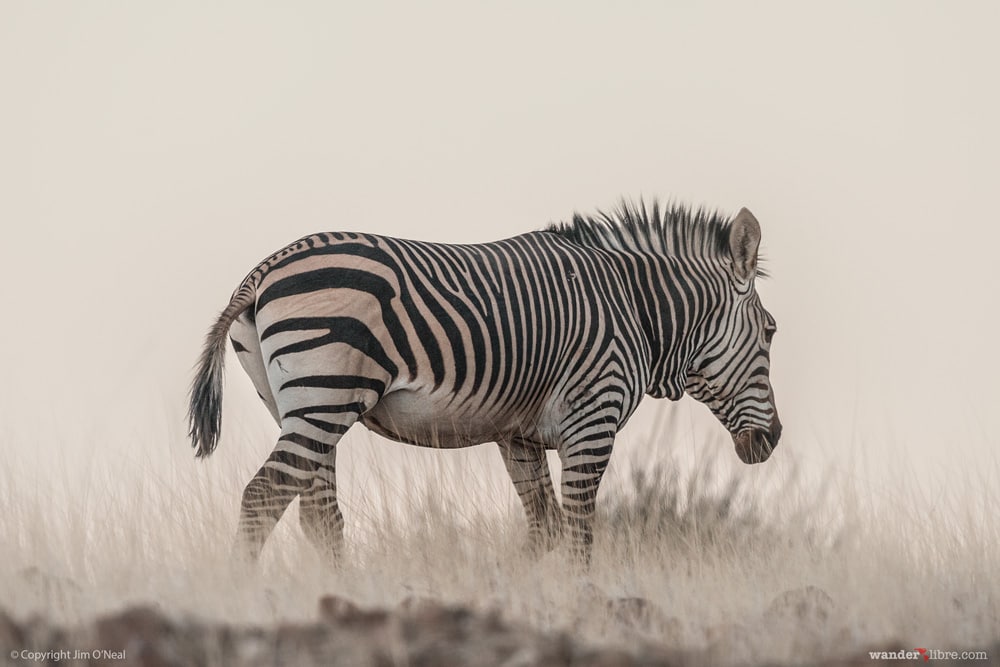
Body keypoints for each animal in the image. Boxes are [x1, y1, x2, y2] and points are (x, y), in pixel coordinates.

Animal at [188, 200, 780, 564]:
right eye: (772, 332)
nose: (771, 441)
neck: (637, 310)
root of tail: (265, 269)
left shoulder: (517, 435)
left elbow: (546, 527)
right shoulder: (592, 421)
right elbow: (580, 533)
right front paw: (583, 608)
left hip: (296, 405)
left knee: (319, 515)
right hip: (325, 397)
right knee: (263, 496)